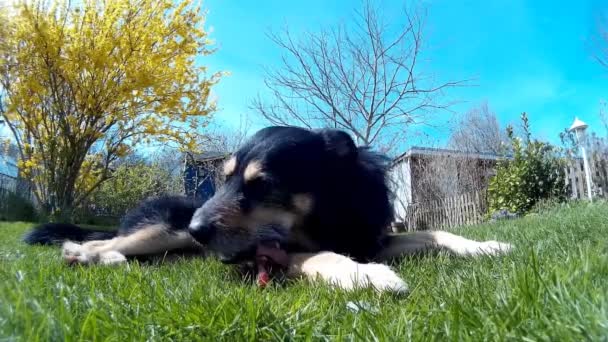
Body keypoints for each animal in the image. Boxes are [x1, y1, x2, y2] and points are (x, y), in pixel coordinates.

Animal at [22, 125, 512, 294]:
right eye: (224, 179)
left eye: (262, 184)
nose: (199, 228)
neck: (328, 213)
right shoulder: (269, 252)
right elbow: (317, 255)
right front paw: (367, 275)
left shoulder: (371, 237)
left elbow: (436, 233)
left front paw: (486, 246)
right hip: (162, 229)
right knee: (105, 240)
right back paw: (84, 254)